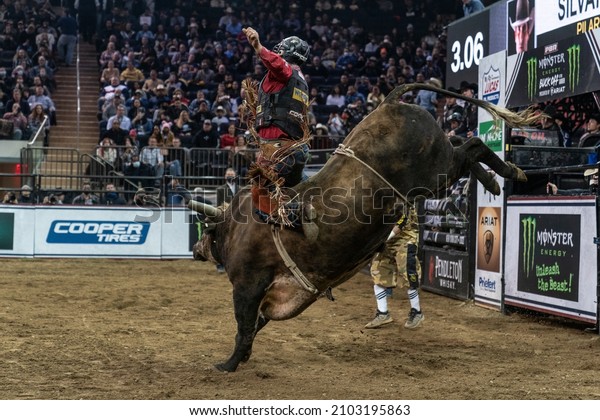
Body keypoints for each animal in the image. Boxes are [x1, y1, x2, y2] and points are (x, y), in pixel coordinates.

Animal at [190, 83, 536, 372]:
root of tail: (391, 103)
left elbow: (244, 325)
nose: (194, 250)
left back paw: (508, 172)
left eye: (206, 232)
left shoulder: (247, 286)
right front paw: (242, 357)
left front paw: (228, 364)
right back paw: (496, 178)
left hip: (436, 170)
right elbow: (256, 324)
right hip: (437, 173)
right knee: (467, 147)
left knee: (473, 145)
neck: (236, 227)